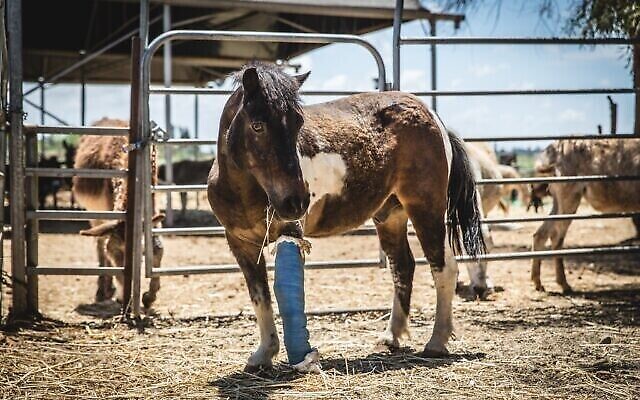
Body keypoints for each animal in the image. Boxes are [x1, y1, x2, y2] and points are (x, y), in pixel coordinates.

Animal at [207, 62, 486, 370]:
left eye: (298, 123)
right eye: (257, 125)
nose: (296, 201)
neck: (243, 190)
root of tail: (433, 117)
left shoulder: (290, 233)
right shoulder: (241, 245)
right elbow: (260, 296)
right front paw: (264, 354)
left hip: (426, 209)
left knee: (443, 267)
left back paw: (436, 342)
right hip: (390, 215)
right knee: (403, 266)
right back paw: (391, 337)